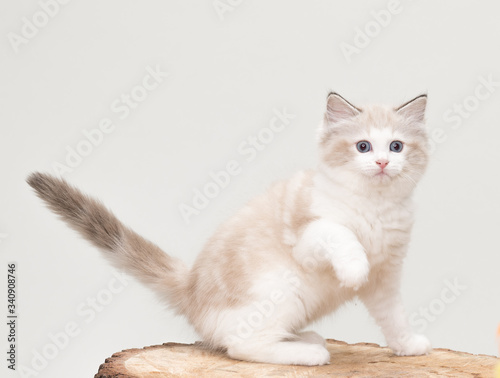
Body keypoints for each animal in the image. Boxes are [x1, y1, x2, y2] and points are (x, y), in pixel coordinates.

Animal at [29, 92, 432, 366]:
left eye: (396, 146)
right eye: (363, 146)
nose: (382, 163)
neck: (375, 206)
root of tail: (190, 286)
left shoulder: (386, 276)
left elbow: (394, 317)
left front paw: (409, 345)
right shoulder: (310, 237)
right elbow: (341, 234)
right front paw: (353, 269)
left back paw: (304, 337)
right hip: (282, 286)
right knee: (241, 345)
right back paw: (307, 352)